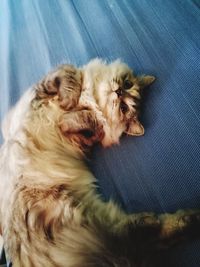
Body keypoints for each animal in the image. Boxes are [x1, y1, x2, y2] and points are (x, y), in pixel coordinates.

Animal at [0, 59, 200, 267]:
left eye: (124, 108)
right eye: (127, 85)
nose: (118, 91)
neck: (91, 98)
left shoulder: (83, 136)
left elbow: (87, 120)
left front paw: (74, 112)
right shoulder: (49, 85)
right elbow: (69, 81)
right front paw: (70, 101)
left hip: (73, 216)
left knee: (132, 238)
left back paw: (161, 220)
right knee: (144, 240)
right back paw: (183, 219)